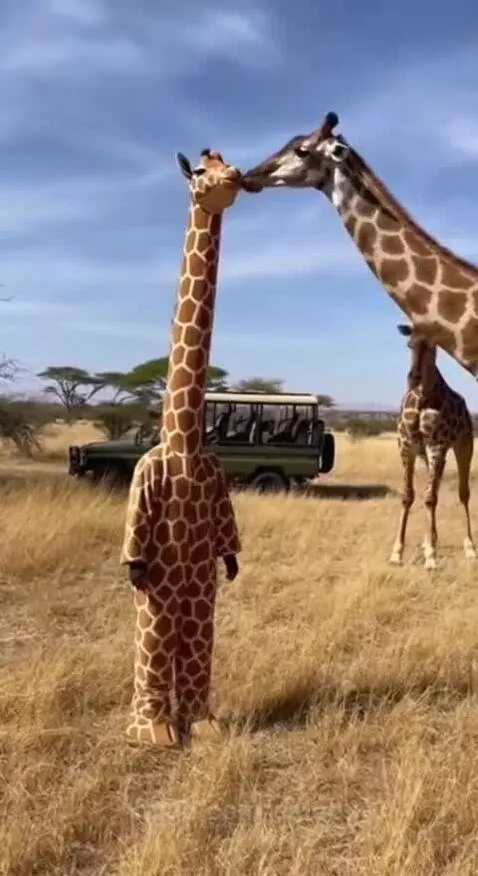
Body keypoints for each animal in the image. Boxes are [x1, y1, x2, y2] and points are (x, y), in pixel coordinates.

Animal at [389, 322, 476, 570]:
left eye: (431, 346)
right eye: (409, 345)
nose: (414, 377)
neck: (421, 399)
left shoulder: (436, 445)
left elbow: (429, 498)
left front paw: (431, 557)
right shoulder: (406, 446)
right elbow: (408, 496)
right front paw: (397, 553)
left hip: (463, 445)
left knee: (462, 493)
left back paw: (468, 548)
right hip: (431, 456)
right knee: (434, 491)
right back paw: (431, 540)